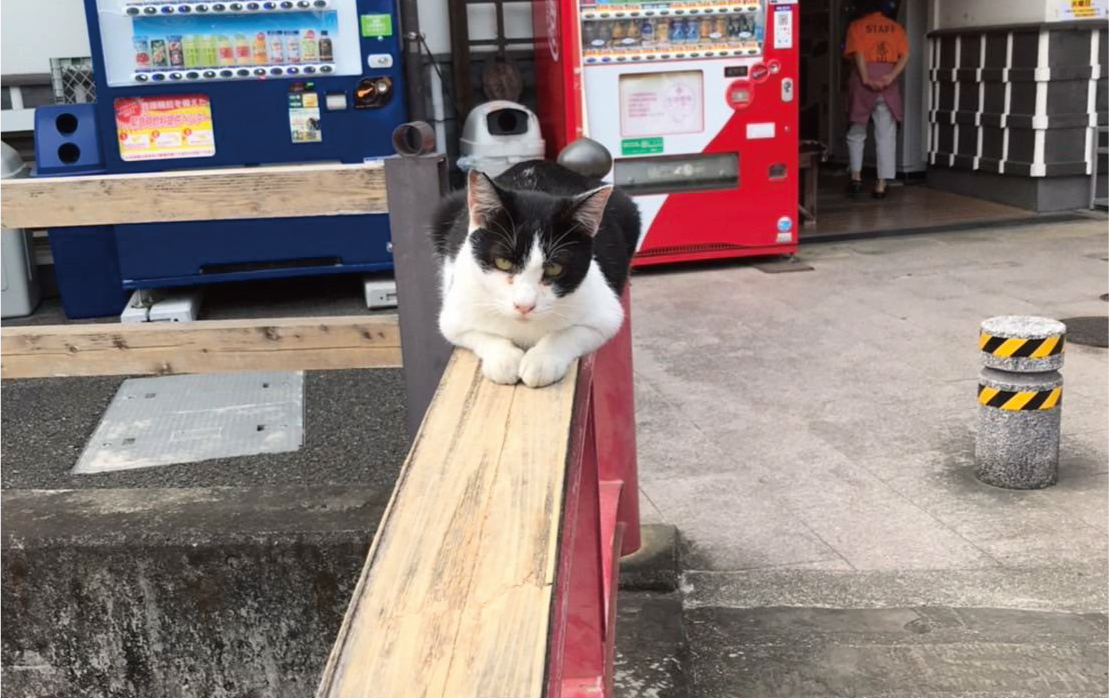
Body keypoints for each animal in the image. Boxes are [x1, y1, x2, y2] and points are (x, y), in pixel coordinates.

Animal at [431, 160, 641, 387]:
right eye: (503, 262)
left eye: (554, 268)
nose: (524, 305)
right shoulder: (454, 313)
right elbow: (473, 332)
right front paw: (503, 359)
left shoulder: (606, 313)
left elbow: (572, 332)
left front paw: (541, 360)